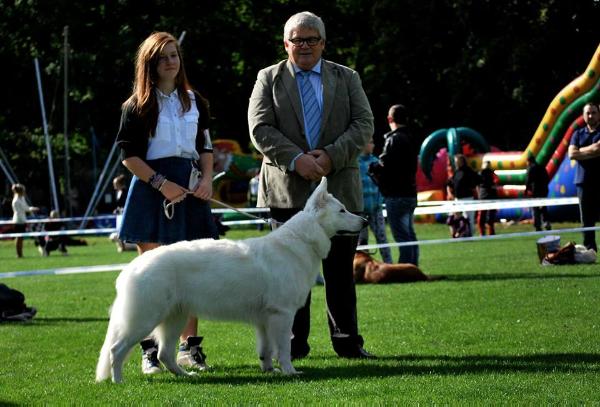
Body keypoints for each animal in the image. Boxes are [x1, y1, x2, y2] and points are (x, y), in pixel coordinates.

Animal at [95, 178, 366, 382]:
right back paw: (119, 382)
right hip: (145, 319)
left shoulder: (264, 320)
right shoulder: (281, 315)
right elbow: (284, 349)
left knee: (165, 354)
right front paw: (289, 371)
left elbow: (266, 350)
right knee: (116, 350)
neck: (302, 239)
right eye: (342, 211)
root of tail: (131, 268)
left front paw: (269, 370)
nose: (365, 221)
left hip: (175, 319)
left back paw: (186, 375)